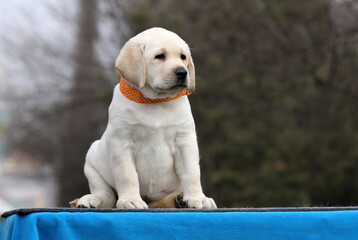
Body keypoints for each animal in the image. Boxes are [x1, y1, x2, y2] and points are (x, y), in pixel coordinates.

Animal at [75, 27, 215, 209]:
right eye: (160, 56)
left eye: (183, 57)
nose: (182, 72)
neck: (155, 101)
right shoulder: (122, 142)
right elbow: (127, 175)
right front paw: (131, 200)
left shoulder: (185, 140)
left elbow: (191, 173)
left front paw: (198, 198)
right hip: (92, 161)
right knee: (106, 195)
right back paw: (91, 199)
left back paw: (178, 199)